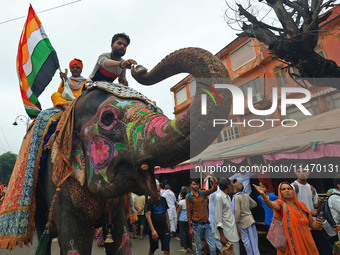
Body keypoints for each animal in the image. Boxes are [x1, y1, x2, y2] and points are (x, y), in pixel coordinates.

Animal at [34, 46, 231, 254]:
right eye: (107, 118)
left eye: (157, 110)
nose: (139, 68)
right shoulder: (59, 184)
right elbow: (75, 243)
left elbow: (120, 238)